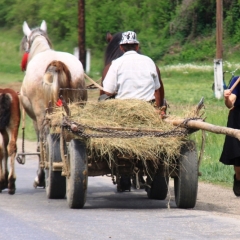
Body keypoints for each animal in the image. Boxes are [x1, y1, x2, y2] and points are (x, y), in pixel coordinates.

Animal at [19, 20, 87, 188]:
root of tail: (57, 64)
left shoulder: (35, 118)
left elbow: (40, 144)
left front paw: (40, 178)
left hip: (42, 114)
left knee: (44, 140)